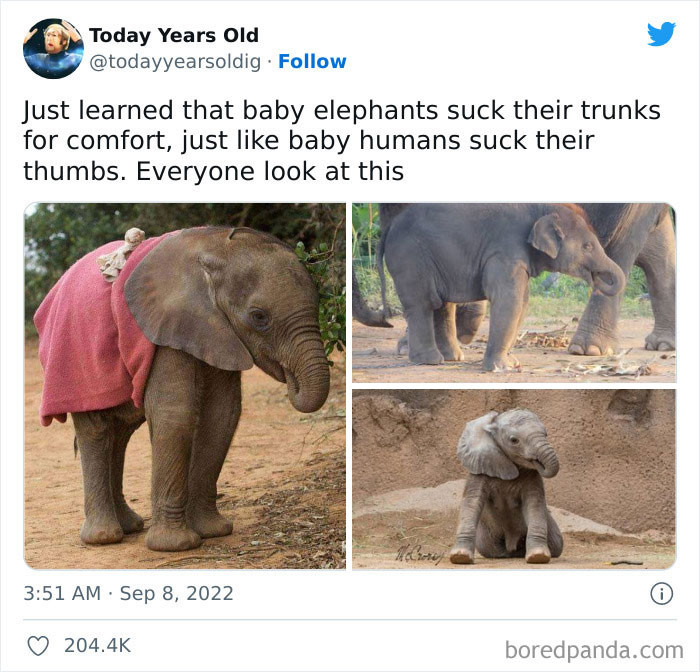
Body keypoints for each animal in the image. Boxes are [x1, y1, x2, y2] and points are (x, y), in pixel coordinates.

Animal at [41, 227, 330, 552]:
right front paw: (175, 545)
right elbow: (175, 414)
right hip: (74, 364)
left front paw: (214, 532)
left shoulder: (217, 329)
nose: (291, 379)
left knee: (121, 433)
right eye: (259, 317)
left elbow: (222, 414)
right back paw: (104, 538)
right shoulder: (167, 327)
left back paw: (130, 526)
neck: (216, 249)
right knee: (97, 430)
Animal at [449, 409, 563, 565]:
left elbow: (534, 503)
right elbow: (472, 502)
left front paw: (538, 556)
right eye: (514, 440)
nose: (538, 462)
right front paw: (460, 557)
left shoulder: (532, 475)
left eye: (546, 434)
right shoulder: (480, 466)